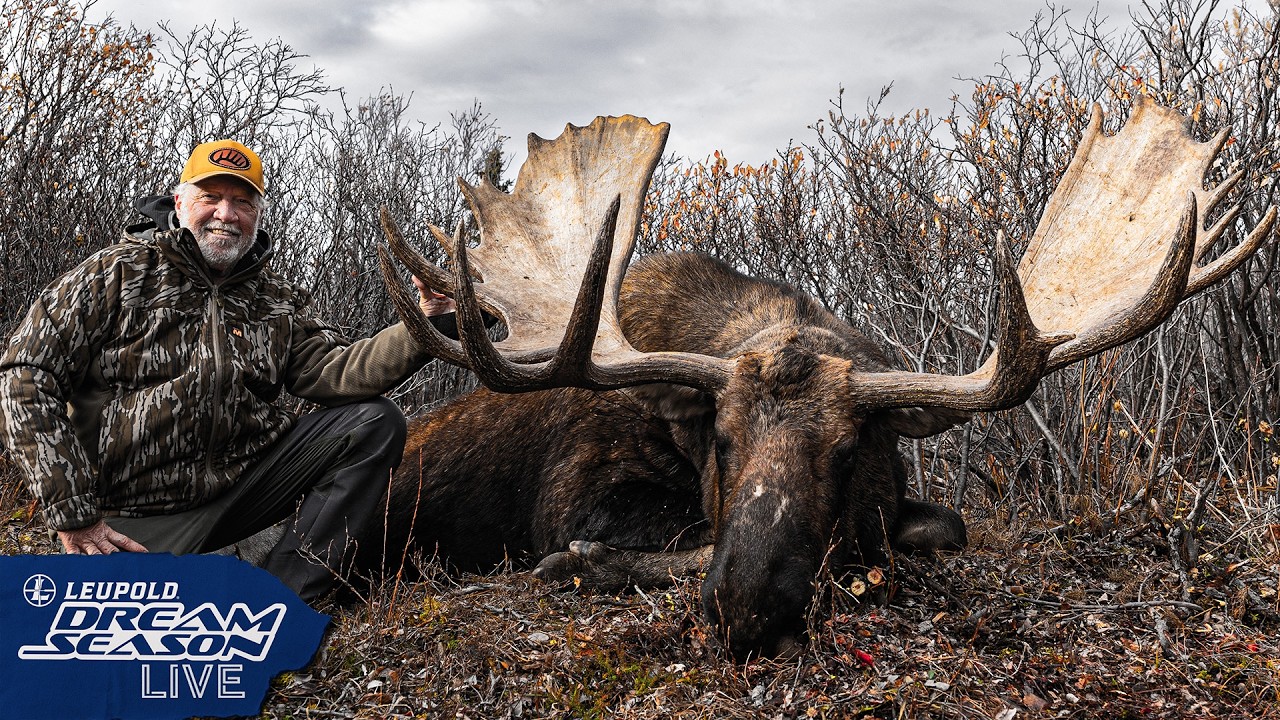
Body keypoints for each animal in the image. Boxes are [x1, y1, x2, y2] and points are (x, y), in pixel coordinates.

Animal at [368, 97, 1274, 658]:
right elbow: (666, 538)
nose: (745, 608)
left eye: (849, 450)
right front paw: (585, 564)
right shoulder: (578, 493)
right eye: (721, 439)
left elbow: (942, 525)